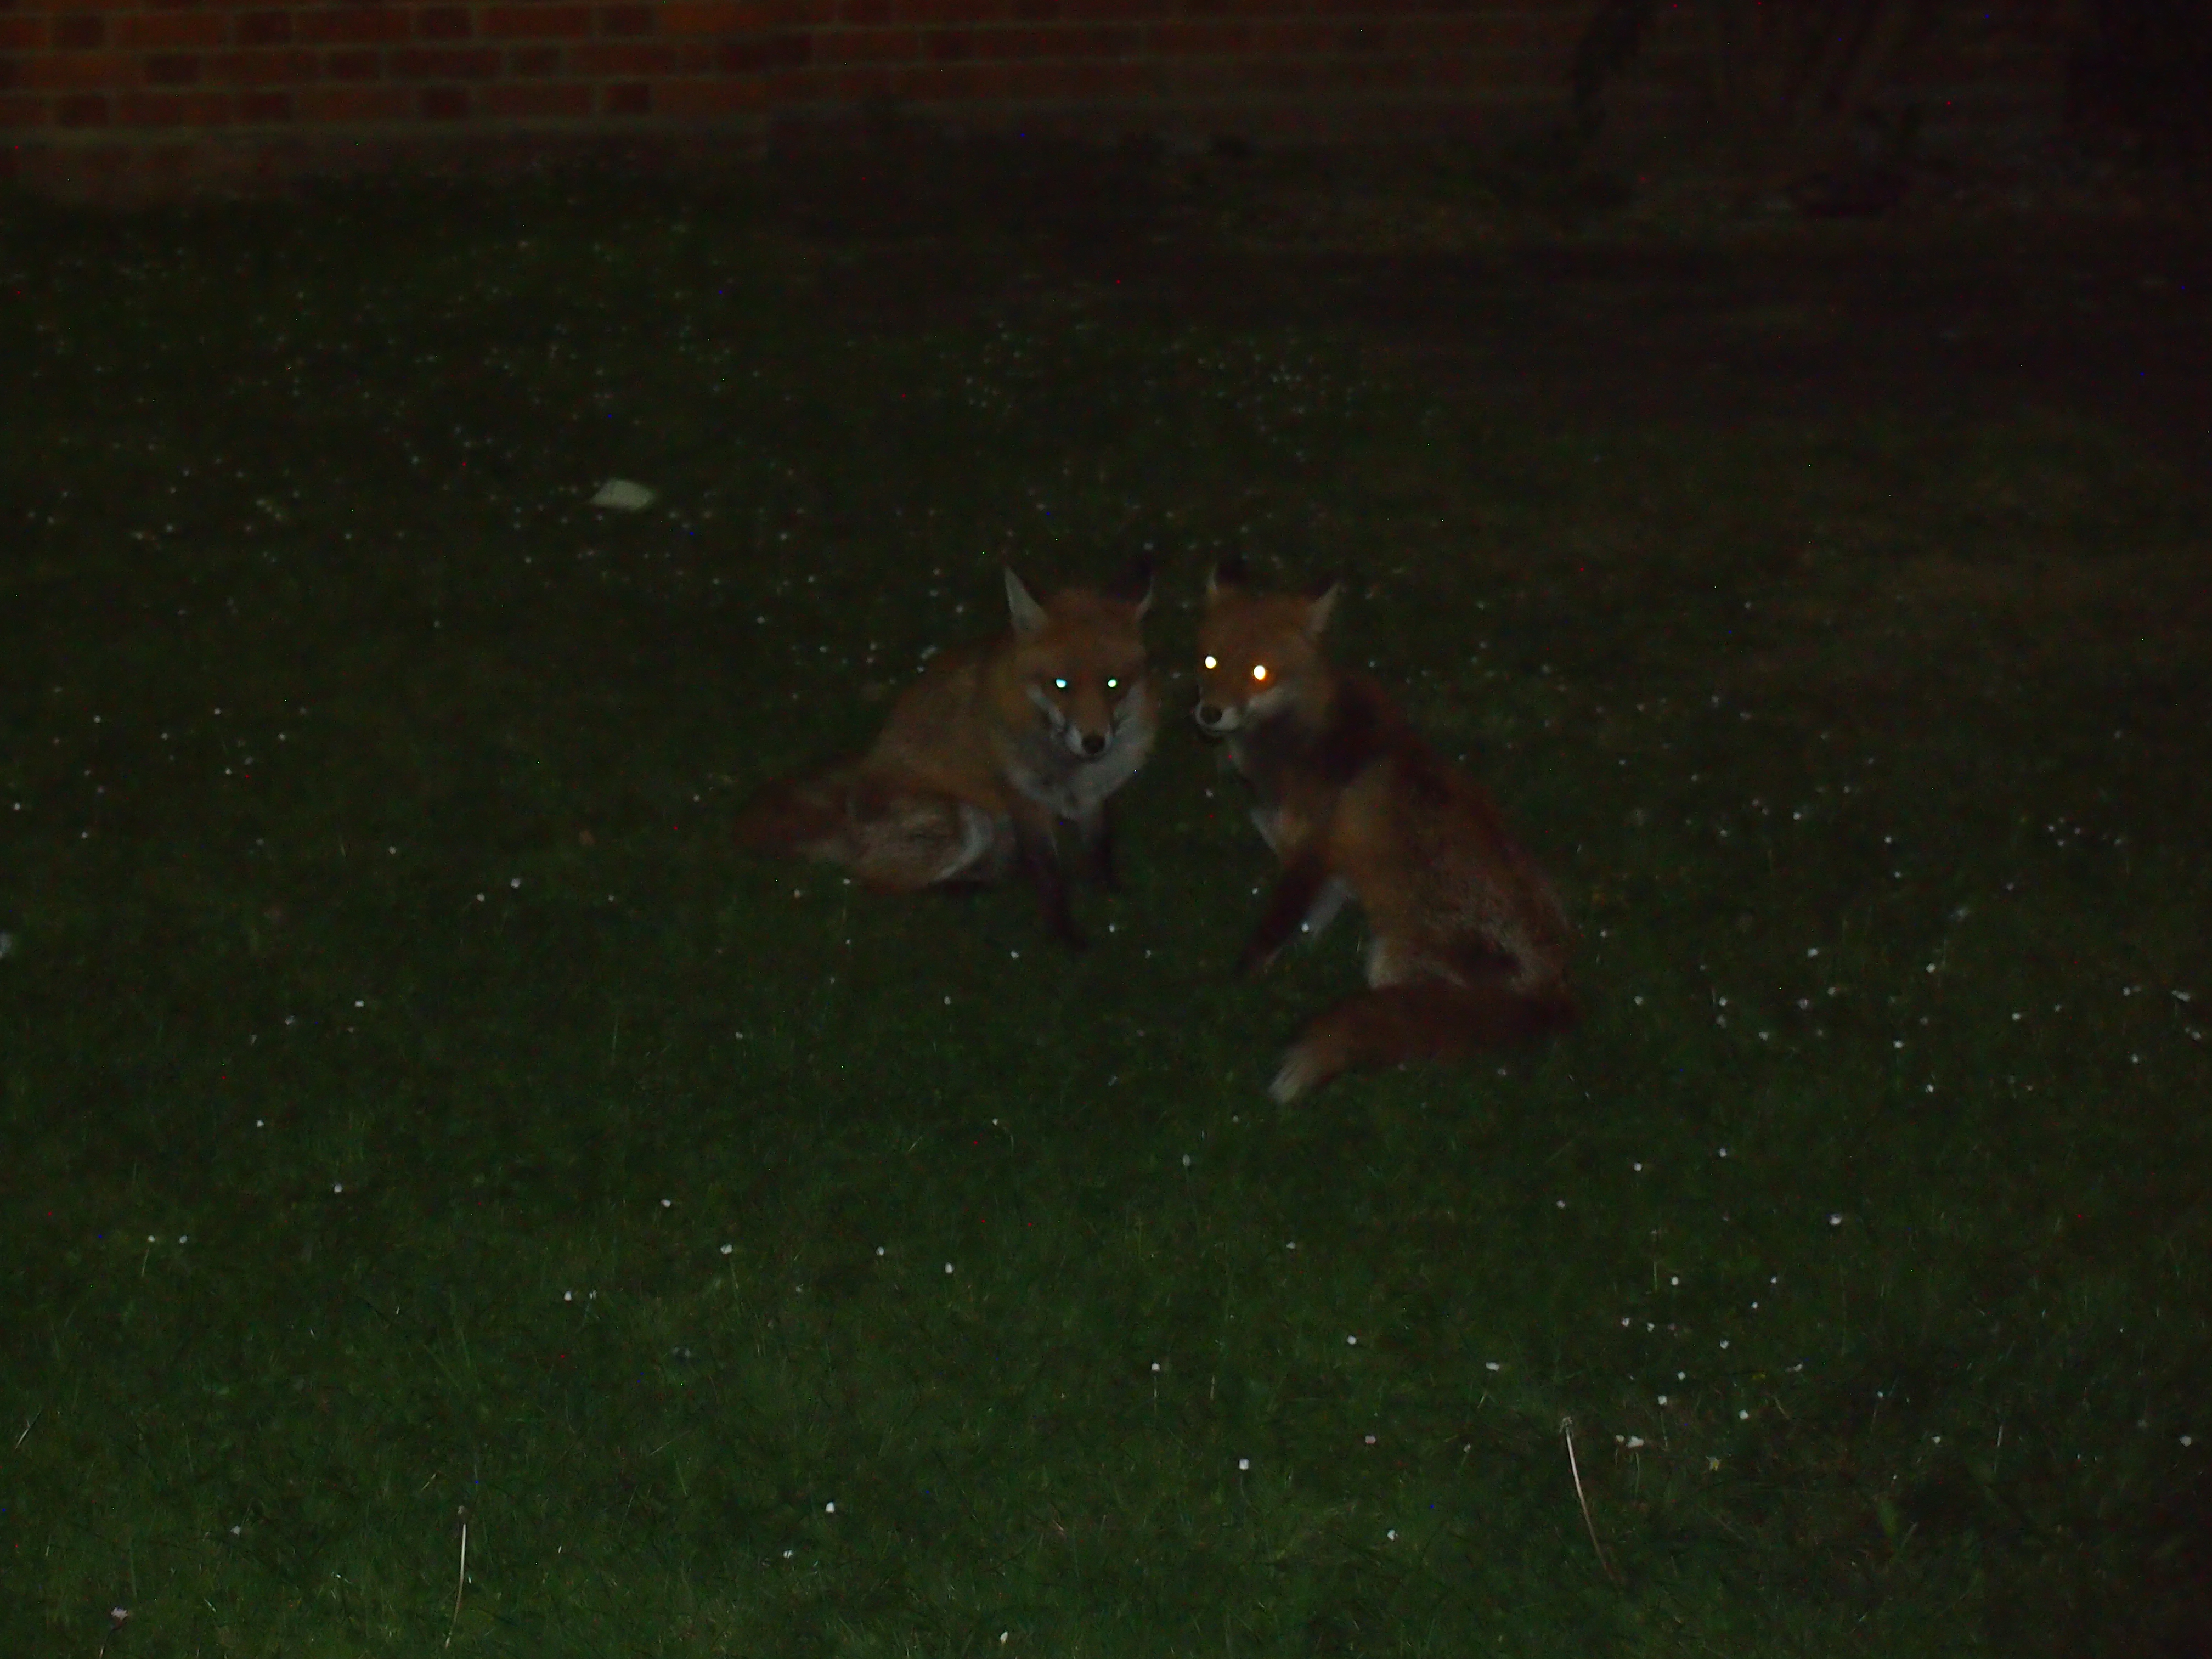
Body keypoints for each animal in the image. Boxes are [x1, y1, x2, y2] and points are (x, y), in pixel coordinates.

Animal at [735, 561, 1156, 947]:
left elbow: (1100, 846)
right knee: (874, 880)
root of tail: (849, 820)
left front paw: (1112, 897)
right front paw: (1065, 936)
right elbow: (1048, 874)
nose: (1094, 742)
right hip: (969, 820)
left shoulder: (1094, 796)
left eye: (1113, 684)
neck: (1070, 769)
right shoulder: (1023, 798)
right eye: (1061, 685)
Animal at [1194, 558, 1576, 1102]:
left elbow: (1274, 929)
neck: (1300, 739)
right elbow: (1312, 926)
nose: (1209, 714)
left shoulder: (1309, 855)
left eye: (1260, 674)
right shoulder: (1330, 867)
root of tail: (1556, 996)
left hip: (1392, 962)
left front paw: (1241, 981)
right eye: (1209, 663)